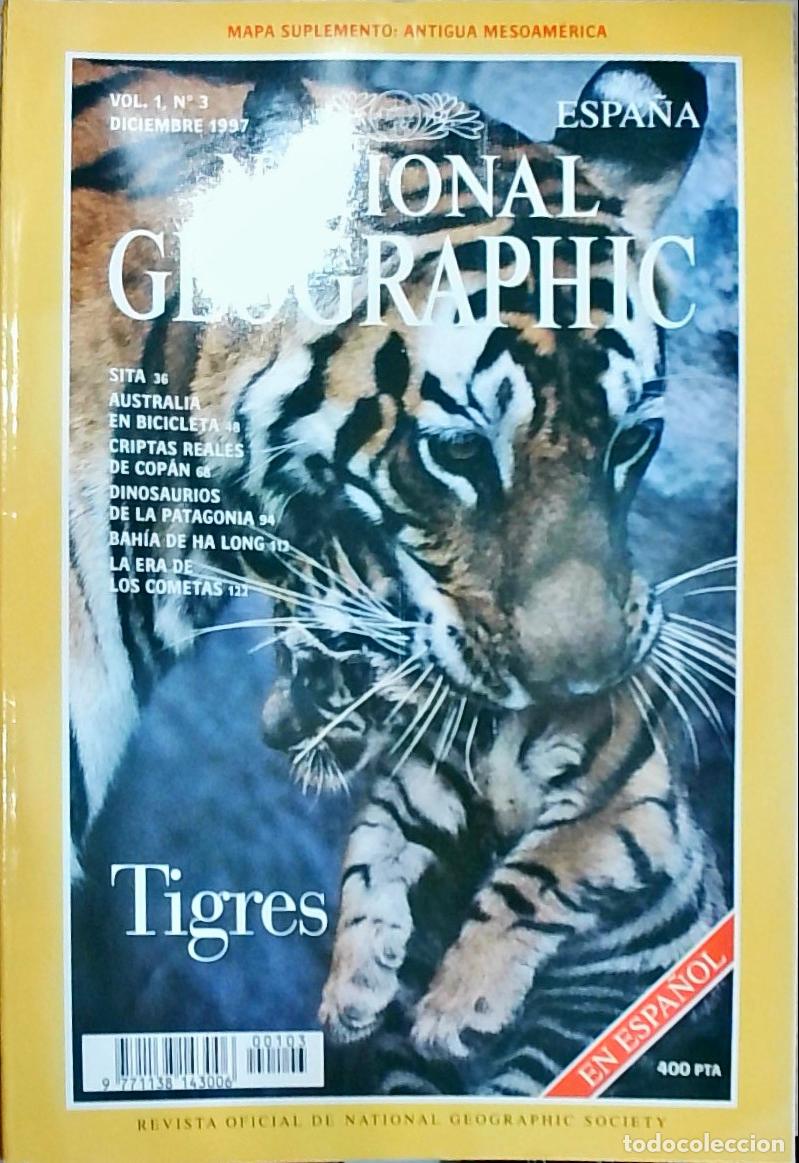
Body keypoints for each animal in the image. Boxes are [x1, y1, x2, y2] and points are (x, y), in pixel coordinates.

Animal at [69, 57, 732, 1094]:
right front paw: (363, 986)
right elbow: (380, 864)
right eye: (457, 450)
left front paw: (446, 999)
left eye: (634, 438)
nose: (586, 682)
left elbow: (533, 869)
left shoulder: (619, 813)